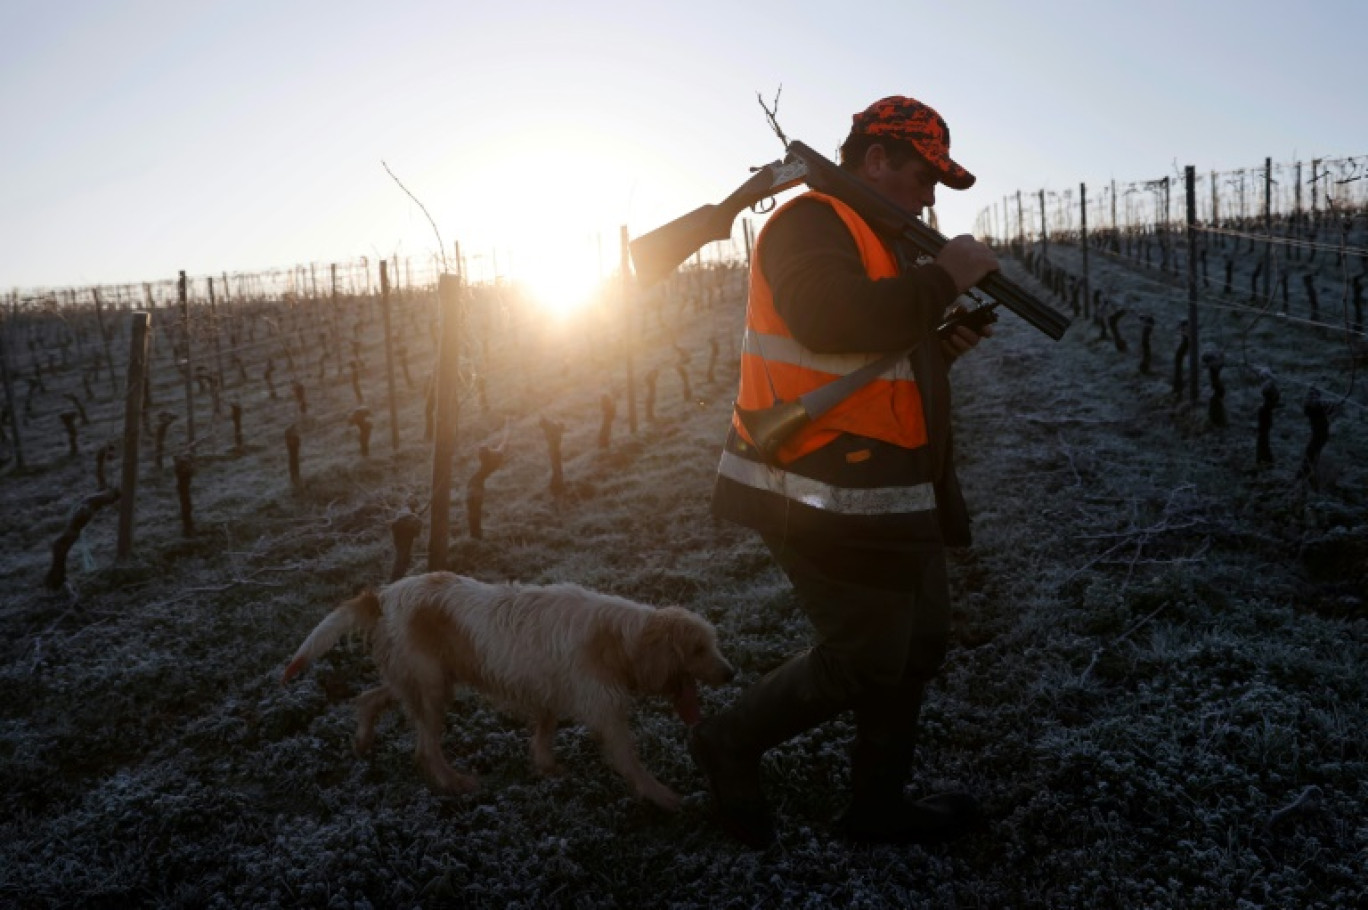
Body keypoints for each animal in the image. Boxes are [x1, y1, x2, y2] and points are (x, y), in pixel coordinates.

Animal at [274, 572, 727, 804]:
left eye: (713, 644)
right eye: (699, 649)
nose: (732, 673)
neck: (617, 637)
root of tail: (383, 596)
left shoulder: (549, 695)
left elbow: (544, 731)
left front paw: (545, 767)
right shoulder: (606, 714)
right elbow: (631, 762)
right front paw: (664, 797)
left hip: (422, 680)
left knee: (369, 698)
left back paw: (364, 740)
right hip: (431, 689)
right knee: (424, 749)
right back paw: (453, 783)